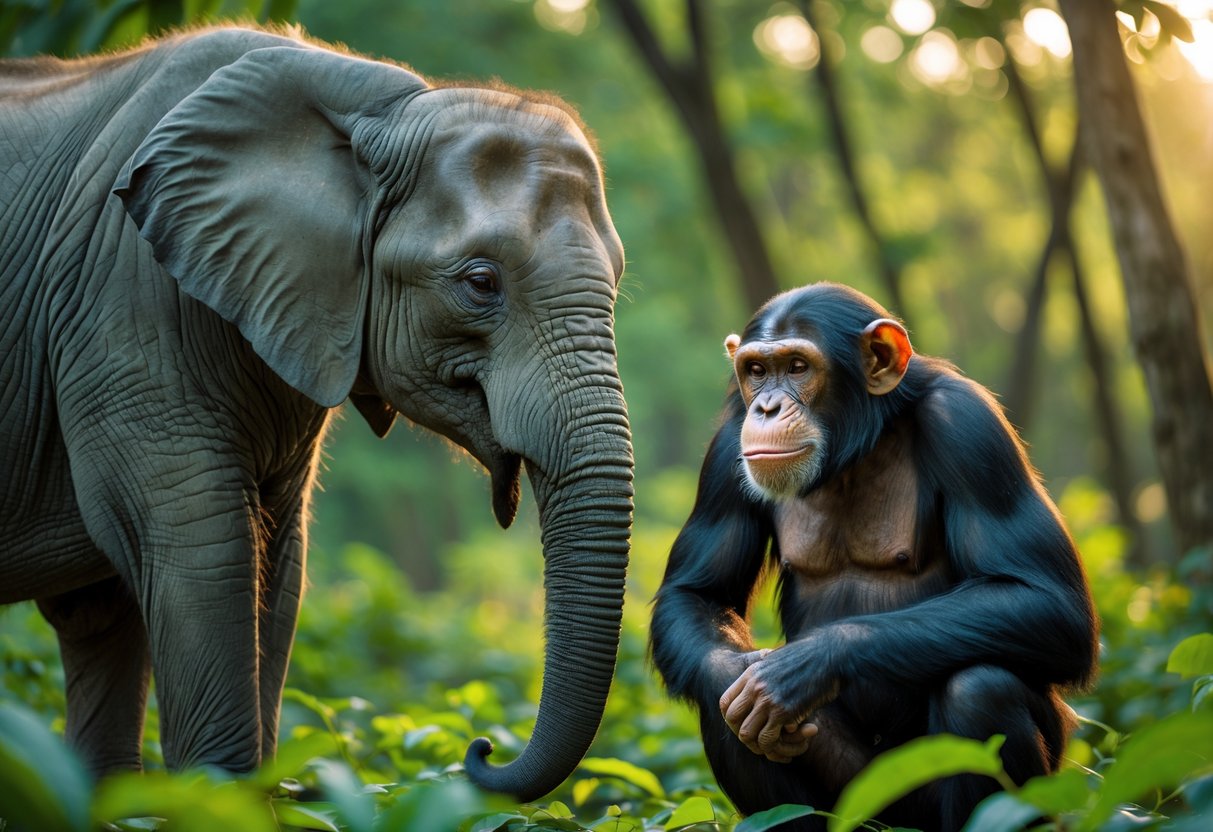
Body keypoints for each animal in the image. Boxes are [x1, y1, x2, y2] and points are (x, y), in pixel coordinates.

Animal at [0, 26, 633, 802]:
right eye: (481, 283)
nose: (481, 747)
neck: (383, 110)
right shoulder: (124, 314)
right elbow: (205, 552)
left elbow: (276, 563)